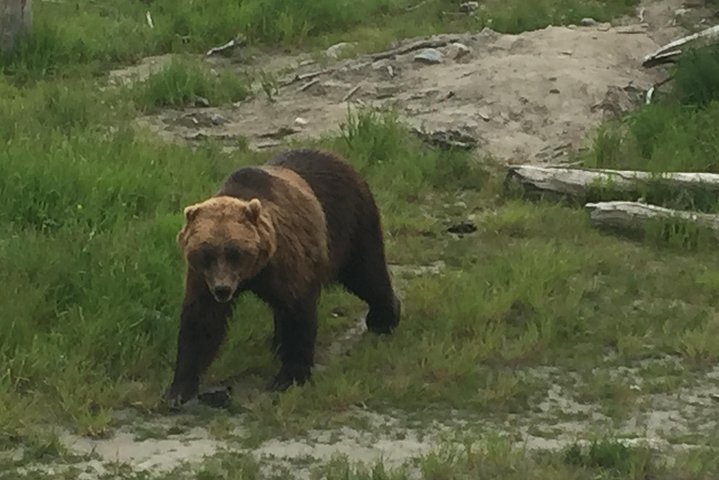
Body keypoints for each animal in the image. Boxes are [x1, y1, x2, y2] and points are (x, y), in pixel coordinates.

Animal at [165, 148, 401, 405]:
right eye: (206, 253)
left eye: (234, 252)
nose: (222, 289)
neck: (254, 271)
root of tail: (340, 159)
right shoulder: (202, 278)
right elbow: (201, 321)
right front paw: (178, 389)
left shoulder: (288, 257)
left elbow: (297, 312)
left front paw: (288, 377)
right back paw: (277, 344)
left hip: (348, 220)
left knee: (366, 273)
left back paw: (384, 318)